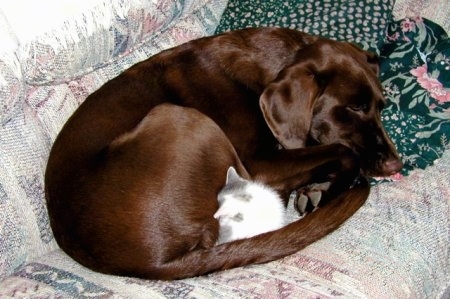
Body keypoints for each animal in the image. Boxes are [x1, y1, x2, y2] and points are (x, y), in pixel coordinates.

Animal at [45, 28, 402, 282]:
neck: (269, 69)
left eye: (381, 106)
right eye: (354, 107)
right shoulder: (258, 165)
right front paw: (329, 192)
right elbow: (344, 152)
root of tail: (152, 264)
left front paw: (317, 190)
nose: (396, 164)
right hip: (183, 118)